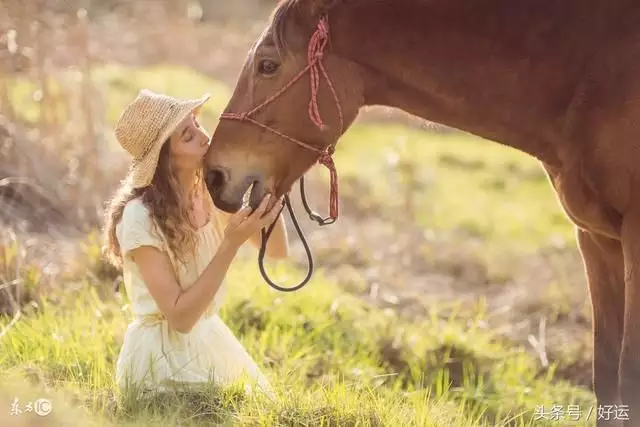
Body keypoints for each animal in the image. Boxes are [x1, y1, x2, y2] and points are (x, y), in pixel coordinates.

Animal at [205, 0, 640, 422]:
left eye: (268, 65)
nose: (213, 174)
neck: (588, 69)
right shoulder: (597, 240)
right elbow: (607, 378)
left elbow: (627, 374)